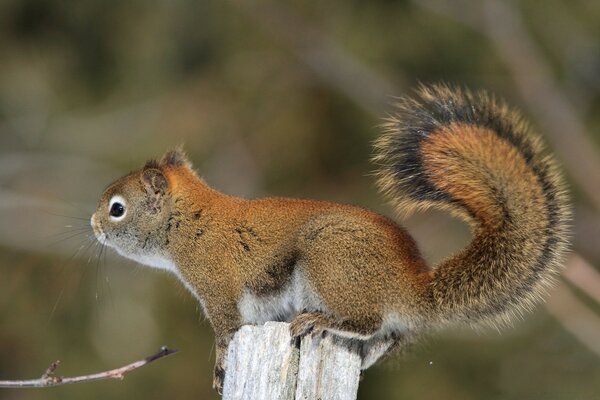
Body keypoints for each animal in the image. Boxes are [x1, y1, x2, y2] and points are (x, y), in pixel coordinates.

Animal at [90, 84, 572, 394]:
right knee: (382, 338)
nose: (93, 225)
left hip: (328, 262)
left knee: (367, 321)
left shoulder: (219, 286)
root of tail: (410, 288)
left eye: (117, 209)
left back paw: (321, 321)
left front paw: (220, 368)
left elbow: (227, 332)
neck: (191, 221)